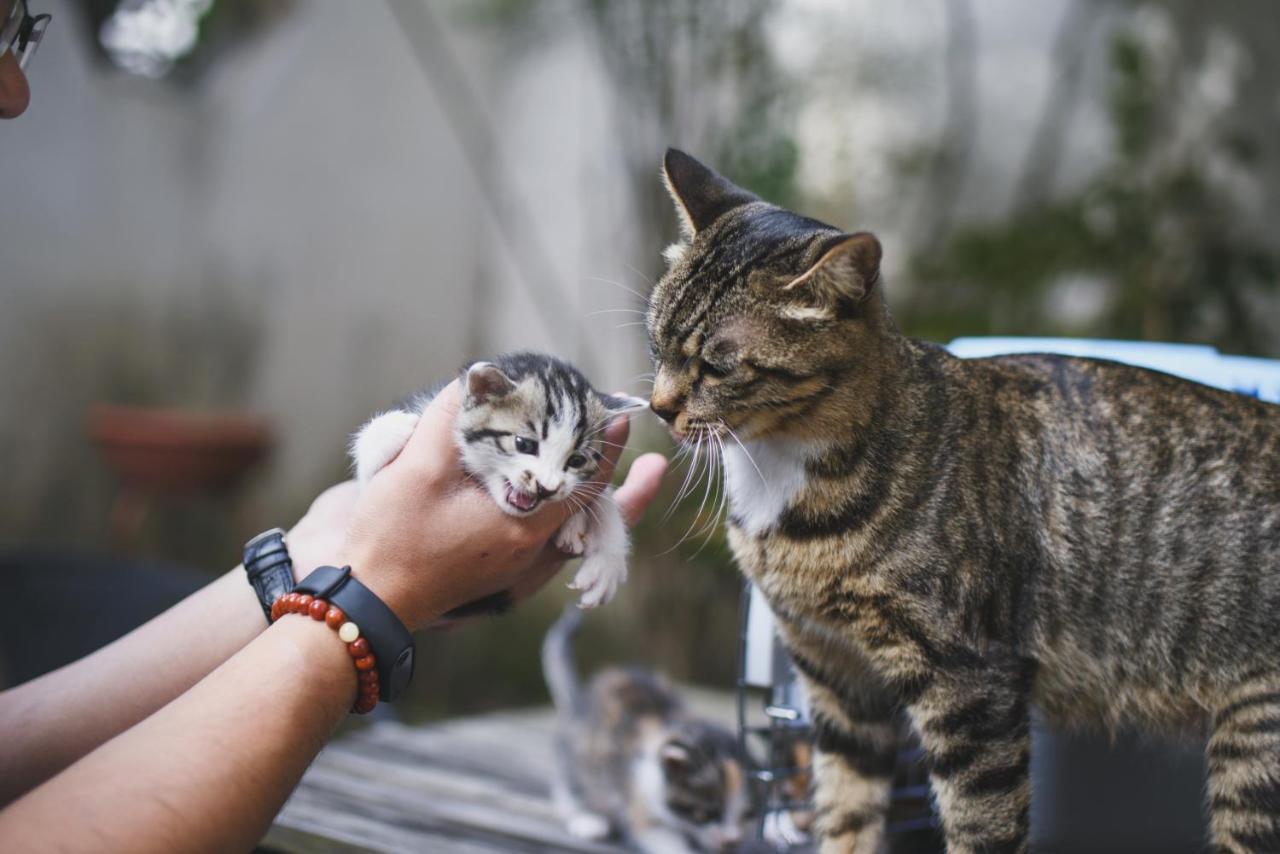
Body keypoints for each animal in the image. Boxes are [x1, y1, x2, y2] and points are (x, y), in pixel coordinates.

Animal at [350, 353, 645, 606]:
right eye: (524, 444)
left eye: (576, 460)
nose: (546, 488)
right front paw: (388, 432)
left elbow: (601, 493)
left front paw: (607, 557)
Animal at [537, 604, 747, 850]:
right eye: (707, 813)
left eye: (747, 815)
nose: (731, 839)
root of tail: (578, 698)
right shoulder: (638, 798)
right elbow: (660, 837)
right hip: (578, 755)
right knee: (572, 785)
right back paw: (589, 819)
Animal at [645, 150, 1280, 850]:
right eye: (656, 342)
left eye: (717, 366)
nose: (658, 406)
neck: (785, 470)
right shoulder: (838, 679)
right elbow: (846, 812)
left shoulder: (970, 683)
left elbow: (981, 822)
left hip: (1257, 751)